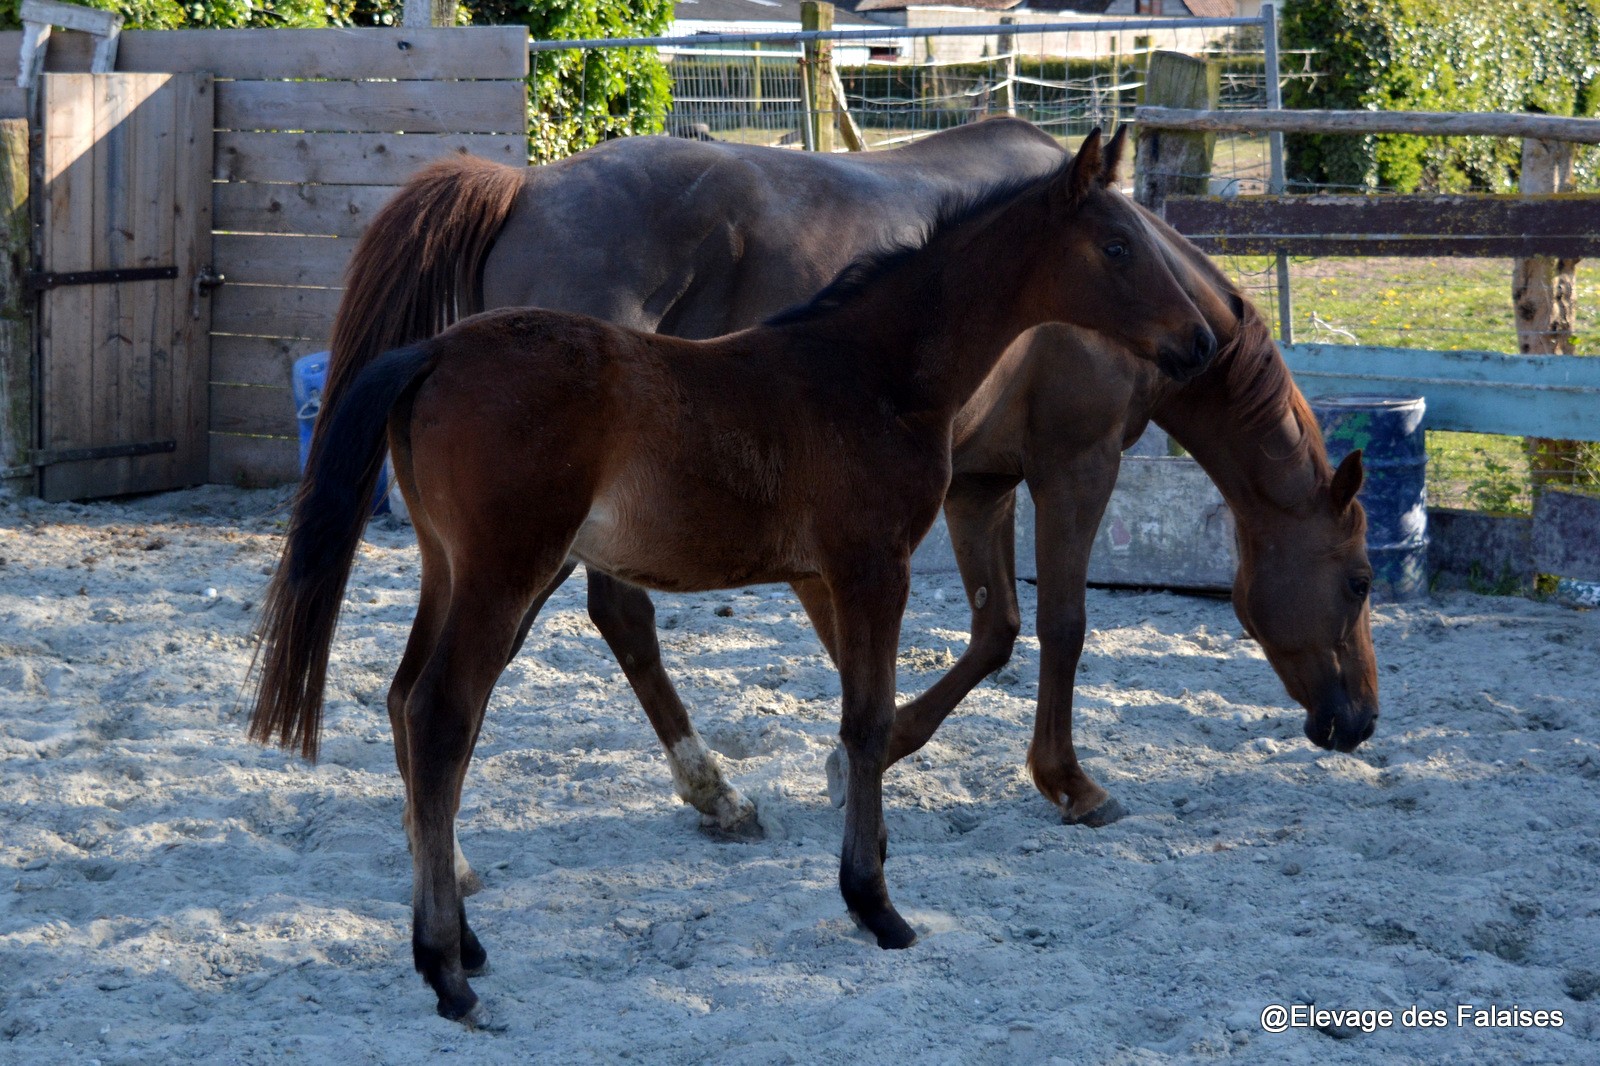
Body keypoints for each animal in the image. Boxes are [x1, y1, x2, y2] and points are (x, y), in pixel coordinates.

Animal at [249, 132, 1216, 1024]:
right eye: (1118, 246)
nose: (1201, 341)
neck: (872, 371)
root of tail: (435, 354)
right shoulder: (873, 565)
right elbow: (867, 722)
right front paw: (875, 905)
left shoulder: (832, 573)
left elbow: (871, 712)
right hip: (505, 572)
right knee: (443, 716)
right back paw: (448, 971)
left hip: (453, 571)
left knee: (407, 701)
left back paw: (467, 939)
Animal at [308, 118, 1376, 845]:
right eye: (1362, 581)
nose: (1359, 720)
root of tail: (522, 187)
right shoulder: (1075, 466)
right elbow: (1060, 626)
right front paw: (1066, 781)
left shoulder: (977, 487)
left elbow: (992, 630)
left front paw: (879, 745)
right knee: (608, 621)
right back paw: (709, 789)